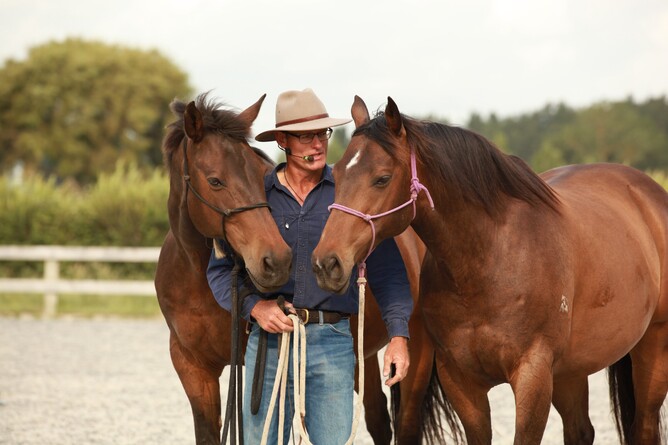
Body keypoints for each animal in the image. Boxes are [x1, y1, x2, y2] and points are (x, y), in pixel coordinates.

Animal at [312, 95, 668, 445]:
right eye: (337, 175)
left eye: (382, 178)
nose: (327, 263)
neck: (487, 261)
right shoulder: (460, 380)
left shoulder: (533, 376)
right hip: (571, 370)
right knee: (581, 430)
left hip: (652, 347)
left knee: (644, 426)